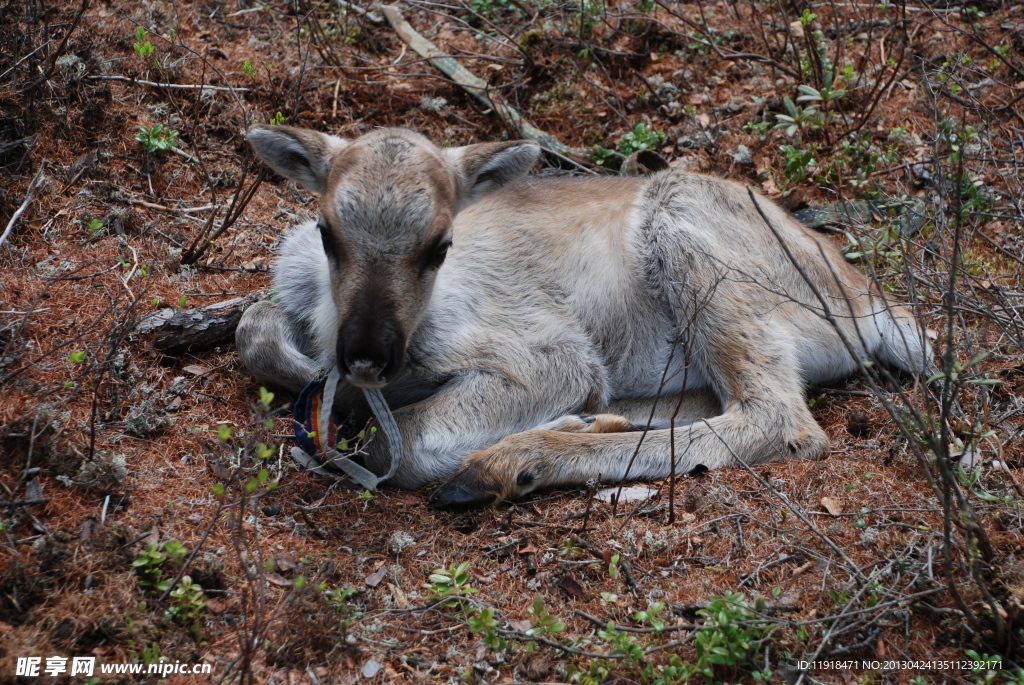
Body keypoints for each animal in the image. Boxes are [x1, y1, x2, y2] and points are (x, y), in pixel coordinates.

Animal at [235, 124, 933, 507]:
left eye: (439, 245)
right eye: (327, 231)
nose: (366, 356)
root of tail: (871, 306)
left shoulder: (552, 357)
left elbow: (395, 445)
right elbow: (254, 329)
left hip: (692, 237)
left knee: (780, 418)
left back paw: (509, 463)